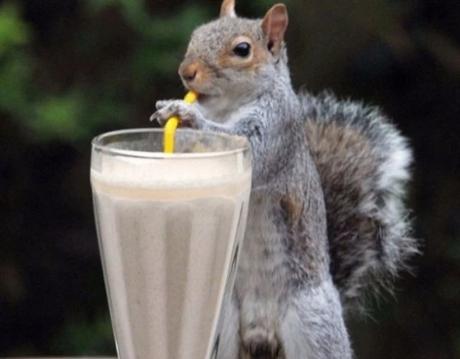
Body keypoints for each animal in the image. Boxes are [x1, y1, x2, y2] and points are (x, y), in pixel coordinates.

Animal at [150, 1, 416, 358]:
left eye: (242, 50)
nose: (186, 72)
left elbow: (251, 151)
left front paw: (188, 115)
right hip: (221, 328)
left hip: (314, 325)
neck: (227, 107)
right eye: (196, 35)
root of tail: (261, 330)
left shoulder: (277, 128)